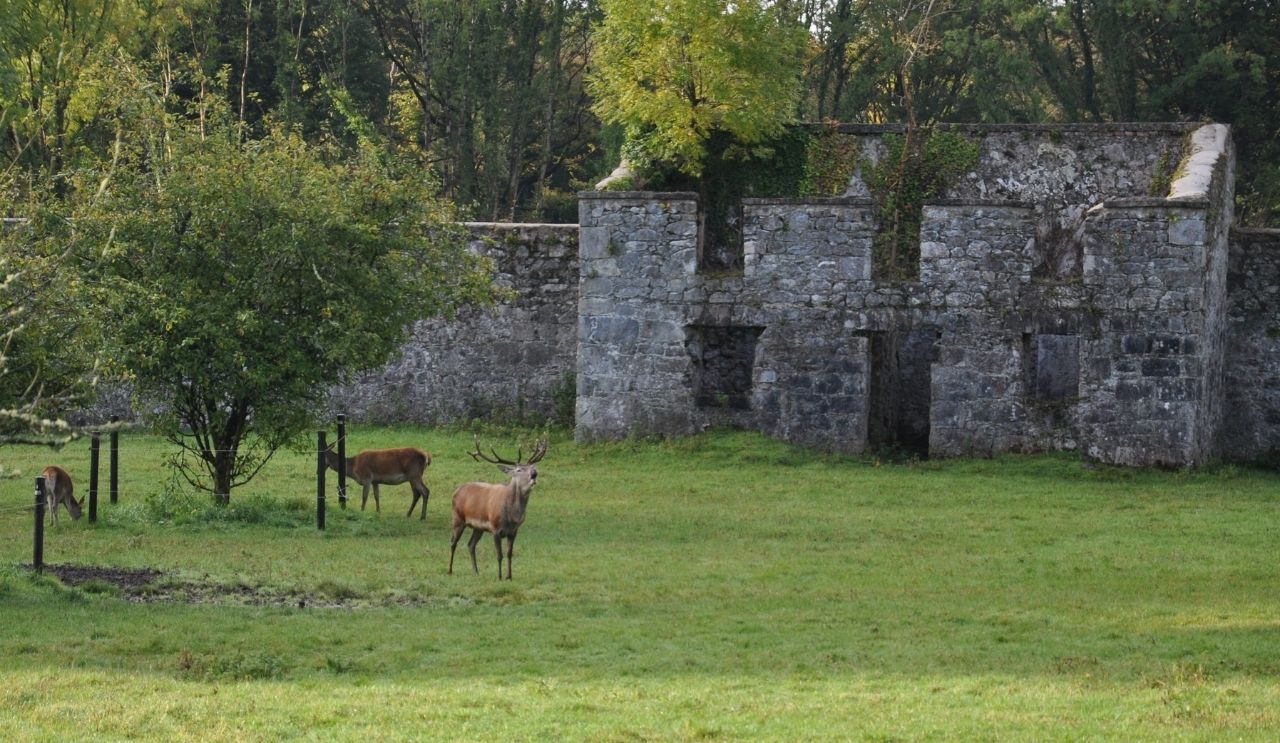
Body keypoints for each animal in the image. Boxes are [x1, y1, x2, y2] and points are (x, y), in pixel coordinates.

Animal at [448, 435, 547, 581]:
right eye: (518, 470)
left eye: (530, 467)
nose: (534, 474)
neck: (512, 517)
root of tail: (456, 490)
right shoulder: (495, 529)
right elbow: (499, 555)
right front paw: (500, 576)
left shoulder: (514, 531)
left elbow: (509, 554)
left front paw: (509, 576)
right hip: (457, 518)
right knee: (453, 543)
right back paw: (450, 570)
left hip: (478, 527)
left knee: (471, 545)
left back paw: (476, 571)